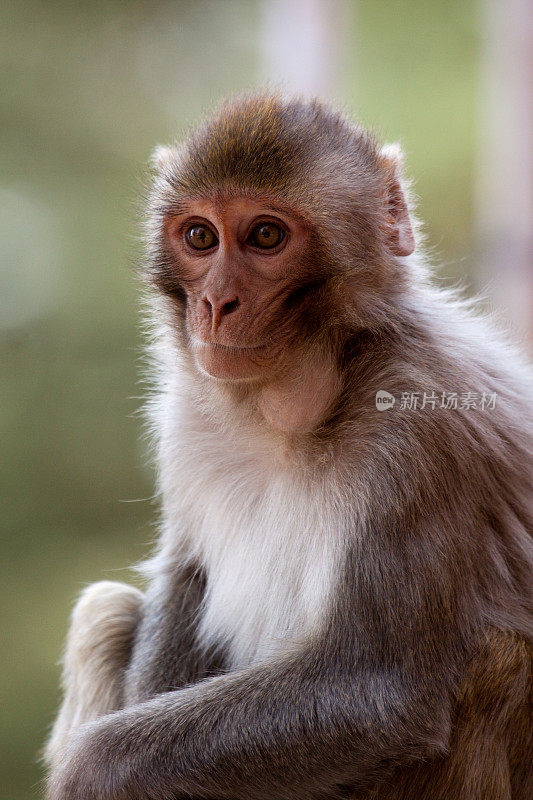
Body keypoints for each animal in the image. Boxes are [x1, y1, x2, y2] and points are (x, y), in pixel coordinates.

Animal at [46, 95, 532, 800]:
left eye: (266, 237)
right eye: (201, 237)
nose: (216, 304)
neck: (297, 412)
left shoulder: (421, 433)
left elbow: (377, 691)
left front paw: (92, 772)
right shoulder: (185, 417)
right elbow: (185, 581)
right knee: (106, 610)